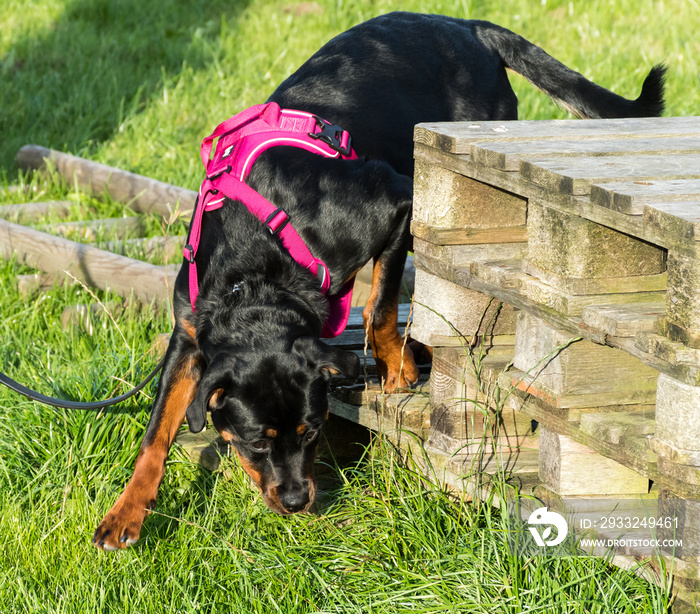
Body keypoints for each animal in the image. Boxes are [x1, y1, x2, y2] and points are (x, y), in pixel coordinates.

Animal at [94, 9, 668, 552]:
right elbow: (155, 433)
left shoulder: (398, 203)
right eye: (256, 442)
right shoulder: (190, 334)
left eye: (312, 430)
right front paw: (124, 515)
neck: (257, 273)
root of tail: (467, 25)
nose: (298, 501)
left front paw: (397, 370)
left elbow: (381, 306)